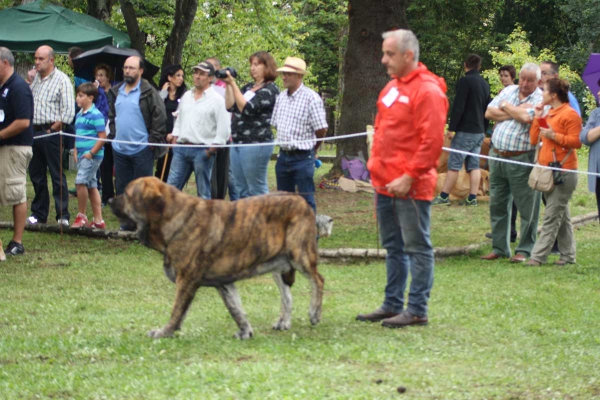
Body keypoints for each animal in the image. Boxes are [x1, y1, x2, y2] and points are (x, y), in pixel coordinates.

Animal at [108, 177, 324, 340]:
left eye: (127, 194)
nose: (109, 200)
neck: (174, 217)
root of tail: (301, 200)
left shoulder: (186, 280)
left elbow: (177, 310)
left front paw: (164, 332)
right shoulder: (223, 283)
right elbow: (235, 309)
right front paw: (246, 331)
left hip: (299, 254)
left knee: (318, 280)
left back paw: (314, 312)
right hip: (278, 265)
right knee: (286, 294)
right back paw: (283, 321)